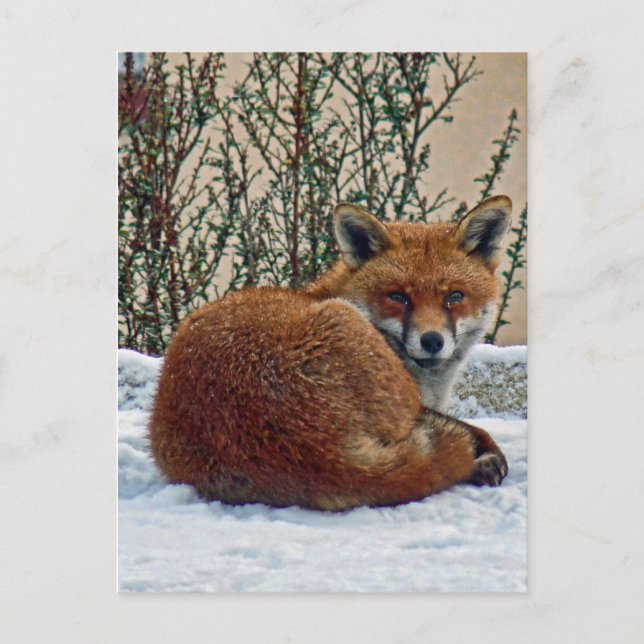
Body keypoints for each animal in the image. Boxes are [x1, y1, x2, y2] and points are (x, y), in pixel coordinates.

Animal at [149, 195, 513, 511]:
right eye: (398, 297)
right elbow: (471, 430)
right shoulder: (418, 408)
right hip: (353, 334)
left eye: (454, 297)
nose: (432, 340)